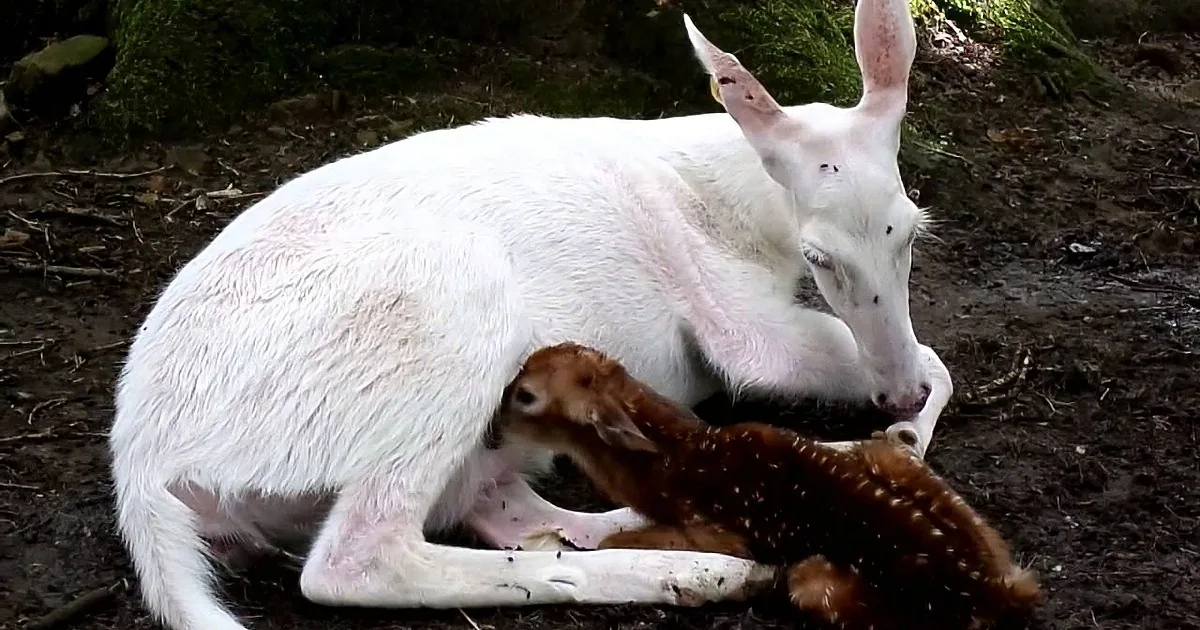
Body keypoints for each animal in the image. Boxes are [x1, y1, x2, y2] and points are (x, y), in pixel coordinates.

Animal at [108, 1, 955, 629]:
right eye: (821, 257)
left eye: (913, 228)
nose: (896, 395)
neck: (740, 203)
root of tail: (142, 468)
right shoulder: (734, 318)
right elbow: (900, 356)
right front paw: (901, 426)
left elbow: (933, 360)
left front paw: (902, 429)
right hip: (449, 310)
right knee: (357, 558)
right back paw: (714, 567)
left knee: (512, 512)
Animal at [494, 342, 1040, 630]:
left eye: (526, 395)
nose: (492, 423)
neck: (674, 462)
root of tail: (994, 590)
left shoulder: (717, 530)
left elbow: (618, 537)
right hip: (889, 458)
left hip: (816, 579)